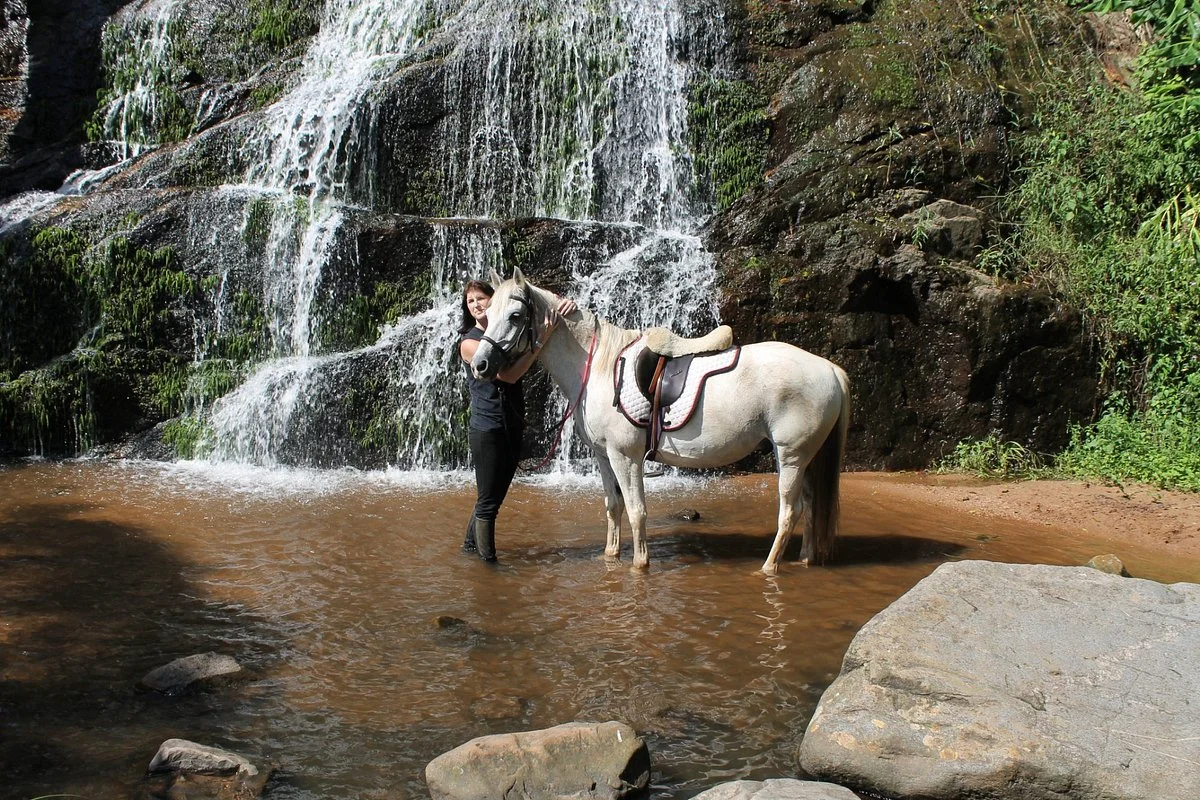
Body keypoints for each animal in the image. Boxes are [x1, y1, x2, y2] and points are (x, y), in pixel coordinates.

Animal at [469, 267, 851, 575]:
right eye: (486, 315)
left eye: (515, 315)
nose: (480, 365)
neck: (599, 368)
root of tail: (829, 368)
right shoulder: (604, 457)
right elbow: (613, 506)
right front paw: (610, 556)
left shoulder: (626, 457)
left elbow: (636, 510)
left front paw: (640, 564)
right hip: (805, 458)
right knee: (811, 507)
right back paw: (805, 559)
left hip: (790, 455)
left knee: (790, 511)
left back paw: (769, 568)